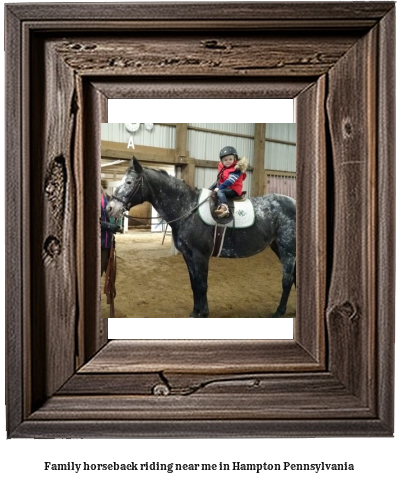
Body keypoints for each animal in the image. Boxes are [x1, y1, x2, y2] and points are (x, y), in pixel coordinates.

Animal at [106, 157, 296, 320]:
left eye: (129, 182)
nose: (110, 208)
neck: (188, 209)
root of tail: (292, 202)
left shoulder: (201, 256)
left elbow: (202, 284)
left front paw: (203, 312)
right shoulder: (188, 256)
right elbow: (194, 284)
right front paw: (195, 311)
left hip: (288, 250)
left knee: (287, 280)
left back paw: (279, 312)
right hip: (278, 247)